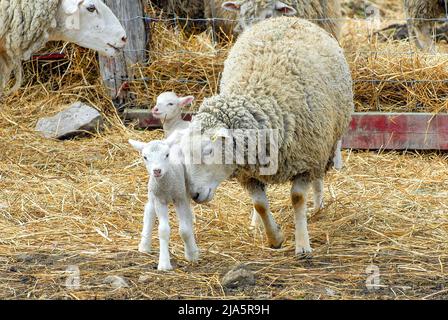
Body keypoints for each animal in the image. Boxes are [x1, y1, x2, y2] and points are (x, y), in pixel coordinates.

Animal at [130, 139, 200, 272]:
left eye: (167, 155)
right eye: (145, 157)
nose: (157, 171)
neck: (166, 185)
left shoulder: (180, 198)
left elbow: (184, 230)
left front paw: (191, 255)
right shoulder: (159, 200)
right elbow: (163, 230)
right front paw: (164, 264)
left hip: (185, 190)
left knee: (188, 217)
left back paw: (192, 248)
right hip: (152, 193)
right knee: (149, 211)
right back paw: (144, 245)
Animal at [179, 17, 354, 255]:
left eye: (208, 151)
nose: (194, 195)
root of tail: (288, 18)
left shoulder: (305, 160)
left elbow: (297, 199)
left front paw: (302, 244)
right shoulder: (248, 172)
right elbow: (260, 205)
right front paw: (274, 237)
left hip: (325, 141)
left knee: (319, 176)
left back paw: (317, 206)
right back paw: (256, 224)